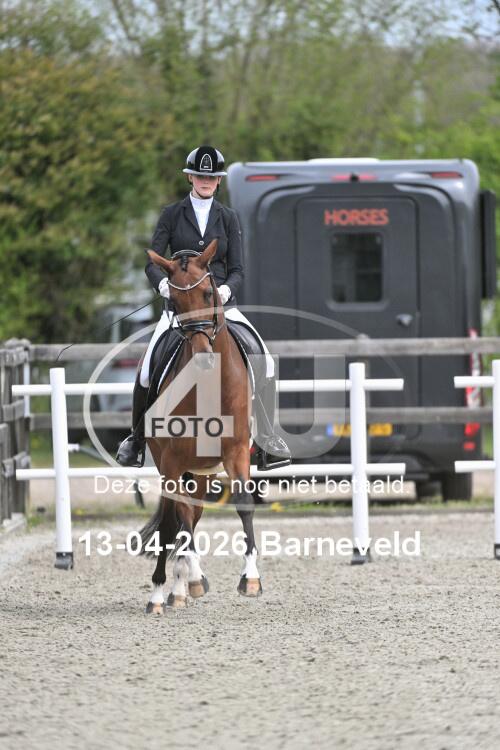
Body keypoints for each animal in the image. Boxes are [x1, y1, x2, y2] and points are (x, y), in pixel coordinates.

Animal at [139, 239, 262, 614]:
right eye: (175, 304)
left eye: (209, 293)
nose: (203, 357)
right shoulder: (172, 463)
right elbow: (177, 524)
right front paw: (191, 580)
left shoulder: (236, 452)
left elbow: (243, 503)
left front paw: (250, 579)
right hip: (174, 466)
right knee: (176, 522)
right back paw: (167, 591)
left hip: (203, 472)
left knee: (190, 515)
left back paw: (177, 590)